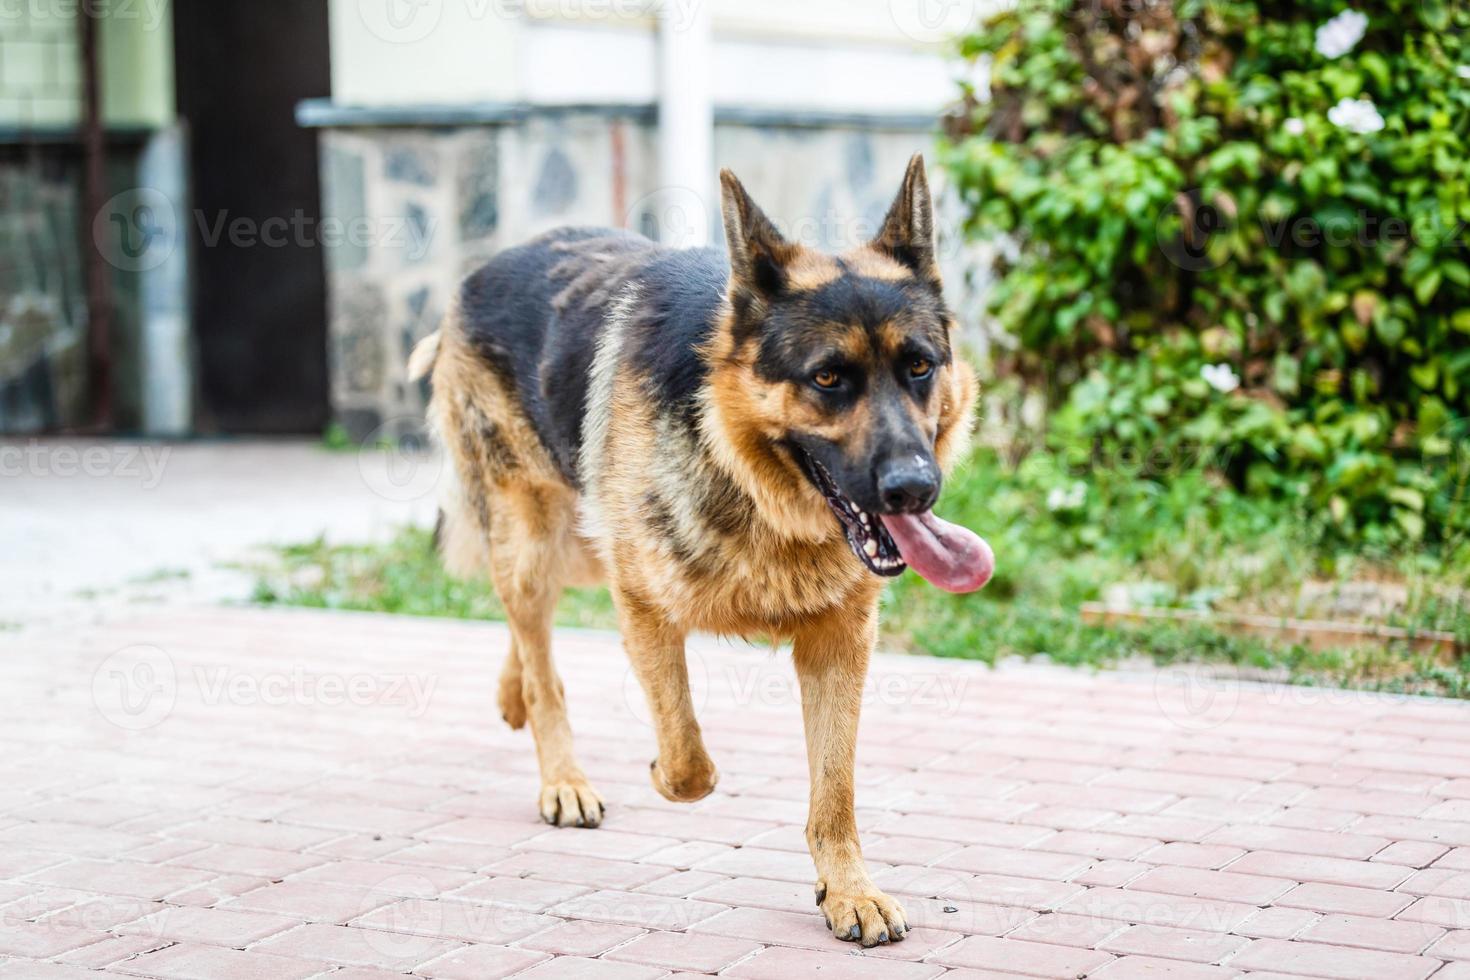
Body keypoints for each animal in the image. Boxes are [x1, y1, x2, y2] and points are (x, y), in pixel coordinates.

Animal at [408, 157, 993, 946]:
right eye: (828, 378)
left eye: (920, 367)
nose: (914, 489)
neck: (738, 461)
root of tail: (482, 270)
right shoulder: (644, 606)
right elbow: (689, 762)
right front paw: (660, 768)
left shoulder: (840, 643)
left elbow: (835, 790)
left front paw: (848, 890)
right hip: (536, 537)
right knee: (540, 654)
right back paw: (563, 778)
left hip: (578, 536)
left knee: (527, 628)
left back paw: (510, 697)